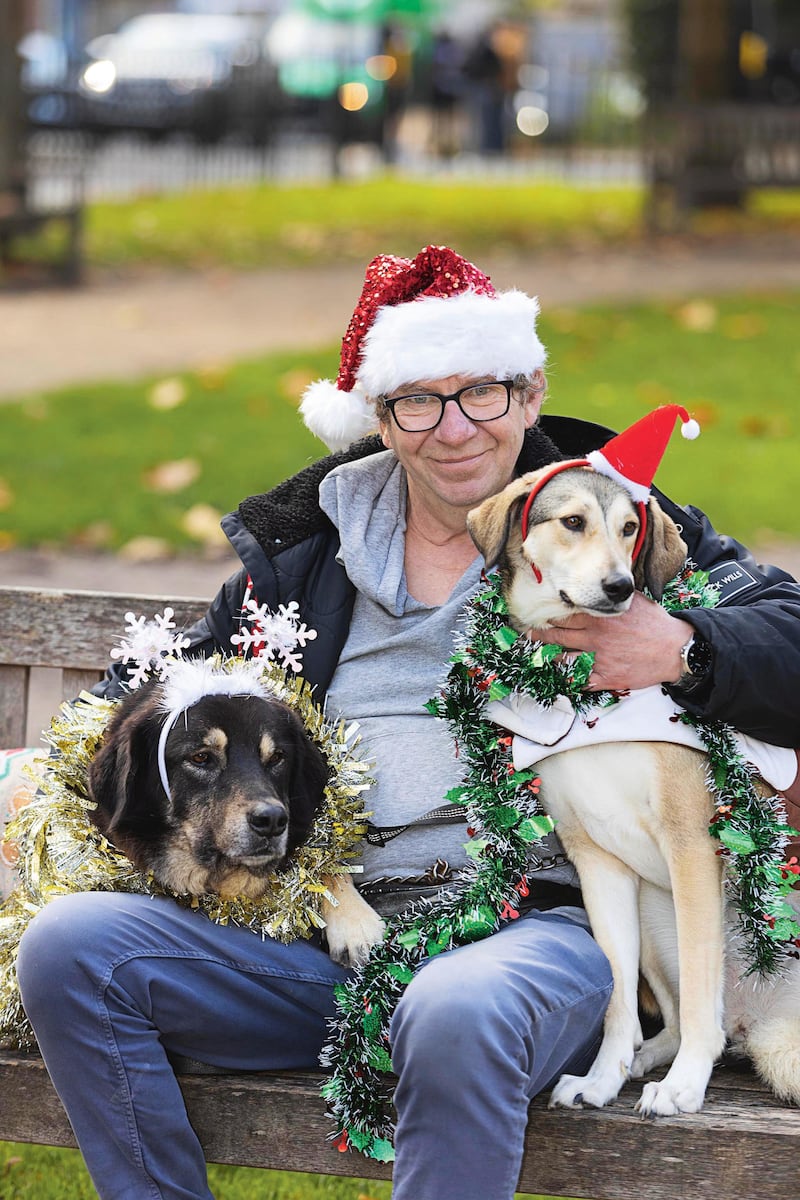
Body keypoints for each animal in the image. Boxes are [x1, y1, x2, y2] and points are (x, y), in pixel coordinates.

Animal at [465, 465, 800, 1113]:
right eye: (573, 521)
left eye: (629, 529)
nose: (620, 586)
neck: (589, 695)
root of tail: (760, 1021)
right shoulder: (598, 862)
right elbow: (619, 997)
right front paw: (603, 1076)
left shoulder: (692, 846)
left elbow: (698, 995)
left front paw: (686, 1087)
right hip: (653, 917)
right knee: (681, 1021)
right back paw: (643, 1061)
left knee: (708, 1019)